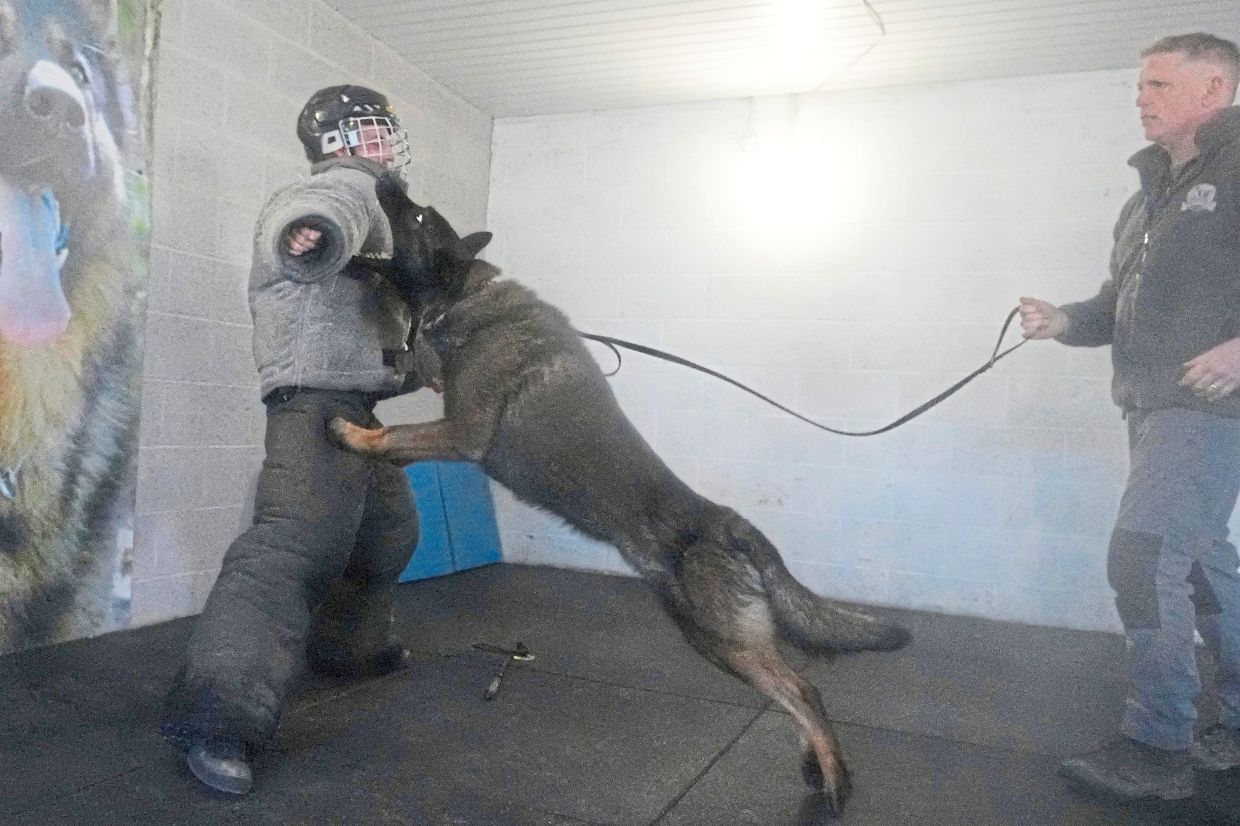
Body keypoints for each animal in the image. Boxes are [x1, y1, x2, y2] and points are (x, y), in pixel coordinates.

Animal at [331, 175, 910, 815]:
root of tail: (732, 525)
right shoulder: (445, 406)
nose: (387, 179)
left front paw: (352, 433)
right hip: (716, 640)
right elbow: (406, 419)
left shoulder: (463, 434)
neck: (467, 298)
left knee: (801, 688)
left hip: (723, 640)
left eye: (413, 216)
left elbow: (397, 435)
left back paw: (834, 780)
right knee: (790, 691)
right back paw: (815, 762)